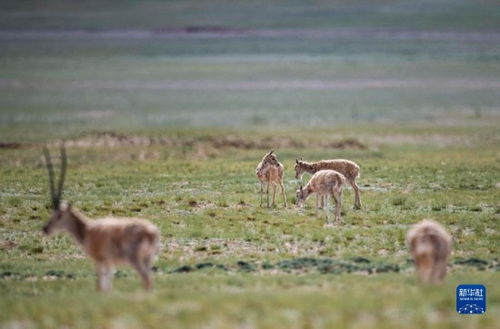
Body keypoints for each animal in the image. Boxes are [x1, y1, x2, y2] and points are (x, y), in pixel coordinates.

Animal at [41, 145, 159, 290]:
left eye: (59, 214)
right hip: (147, 259)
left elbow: (100, 286)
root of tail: (151, 232)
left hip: (135, 260)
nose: (45, 228)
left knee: (146, 280)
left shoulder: (99, 261)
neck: (87, 229)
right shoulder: (109, 264)